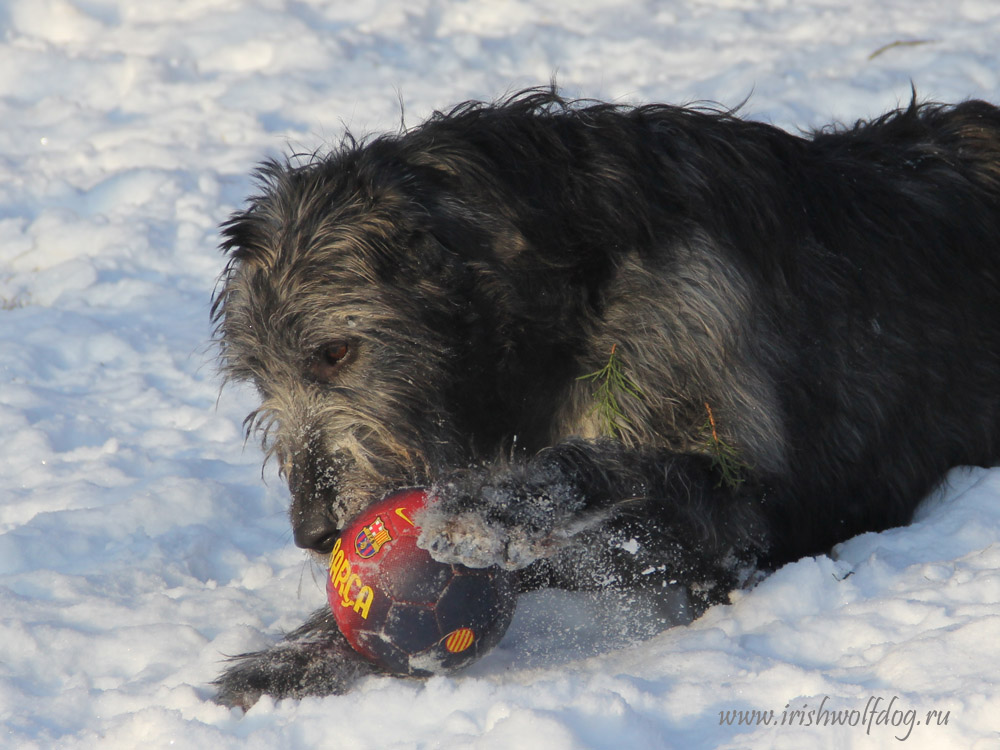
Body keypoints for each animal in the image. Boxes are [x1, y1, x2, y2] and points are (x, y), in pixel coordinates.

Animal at [209, 89, 1000, 712]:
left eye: (336, 352)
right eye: (260, 380)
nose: (314, 531)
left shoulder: (746, 505)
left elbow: (618, 471)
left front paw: (495, 503)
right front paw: (296, 654)